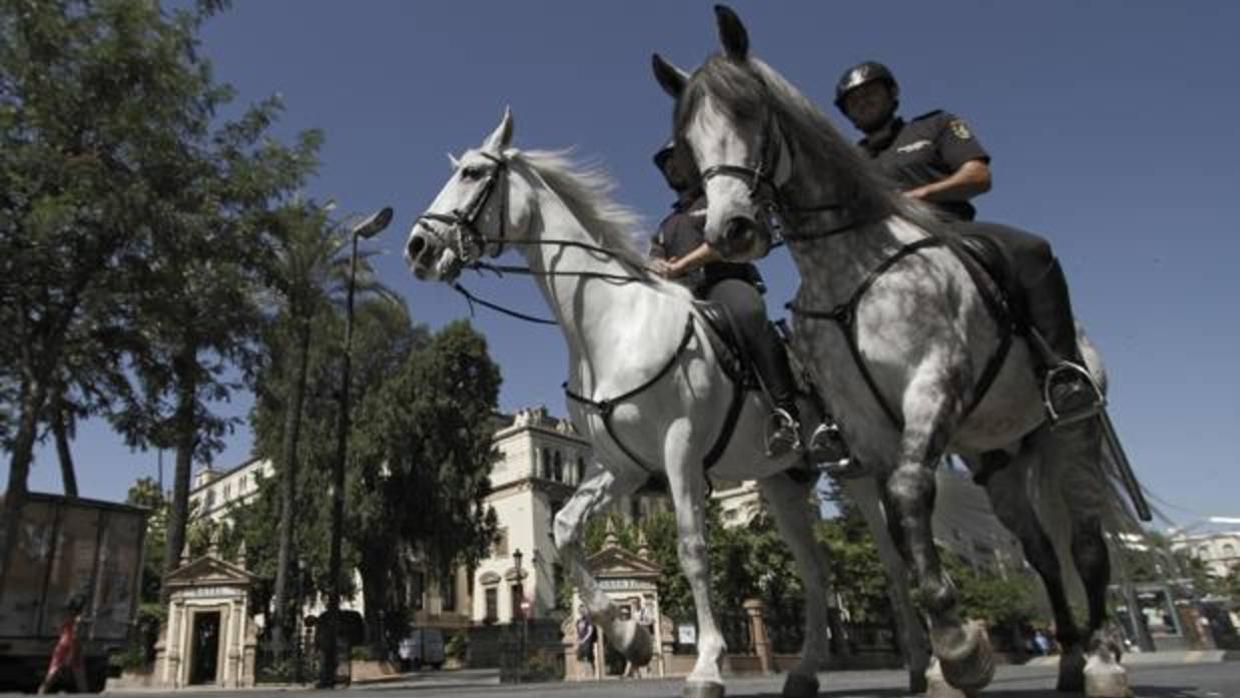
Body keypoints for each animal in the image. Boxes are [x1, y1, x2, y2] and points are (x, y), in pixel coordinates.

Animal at [404, 109, 933, 698]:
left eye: (473, 172)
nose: (418, 247)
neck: (614, 324)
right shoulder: (622, 467)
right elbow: (565, 530)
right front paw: (627, 634)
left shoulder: (679, 446)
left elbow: (692, 549)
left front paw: (706, 664)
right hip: (782, 482)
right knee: (815, 571)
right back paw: (808, 667)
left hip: (856, 468)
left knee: (890, 559)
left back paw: (923, 662)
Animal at [654, 7, 1141, 698]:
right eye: (689, 140)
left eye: (751, 110)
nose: (732, 230)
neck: (848, 267)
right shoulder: (865, 426)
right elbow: (900, 526)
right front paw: (943, 655)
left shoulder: (934, 382)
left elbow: (911, 496)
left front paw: (960, 649)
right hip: (997, 453)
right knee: (1041, 548)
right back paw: (1070, 660)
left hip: (1070, 430)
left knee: (1087, 544)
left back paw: (1101, 661)